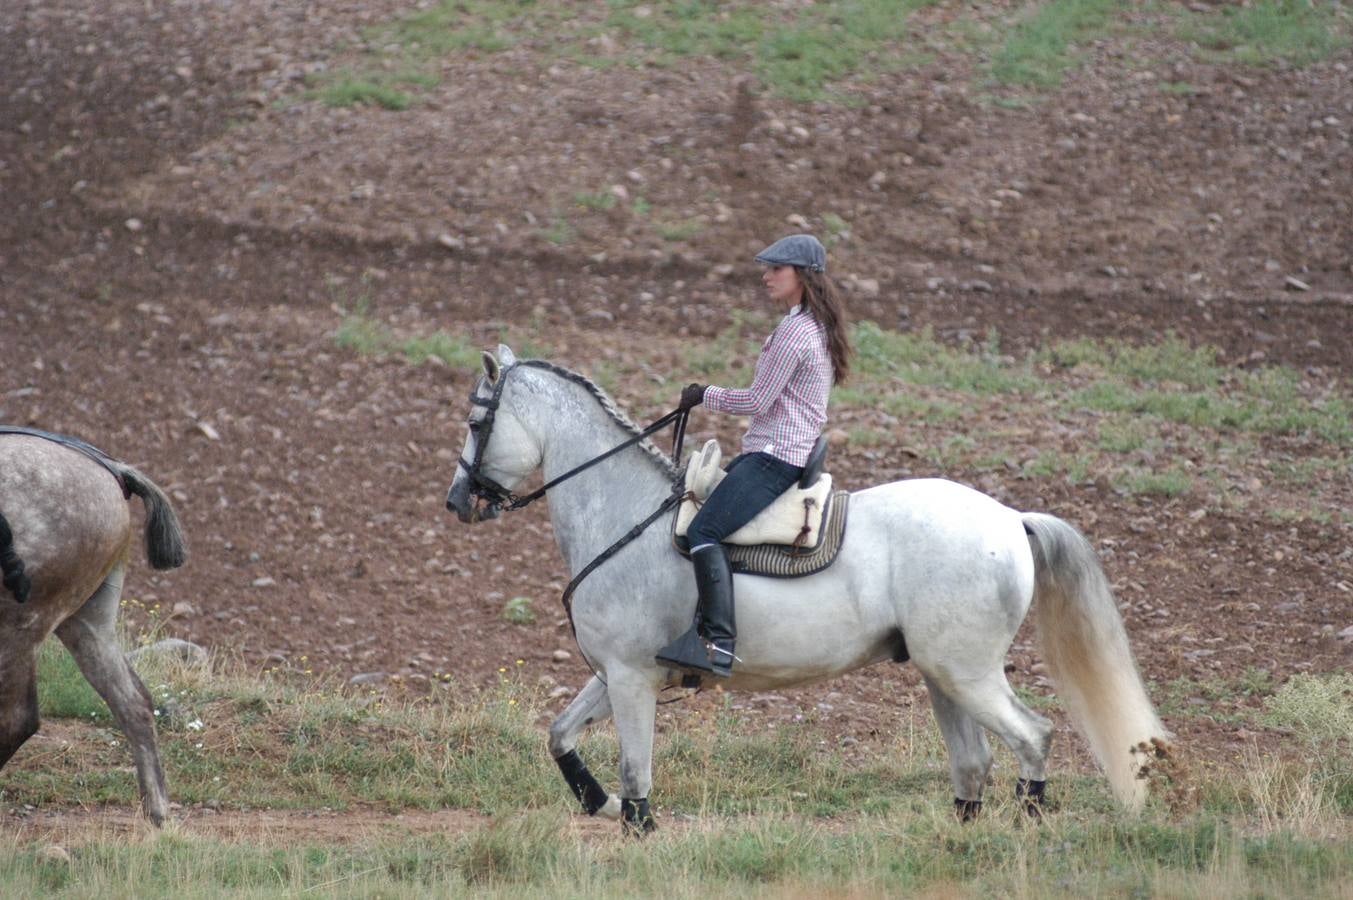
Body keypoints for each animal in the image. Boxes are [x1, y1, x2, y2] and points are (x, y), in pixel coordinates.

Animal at [0, 433, 188, 822]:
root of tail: (114, 471)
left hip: (21, 621)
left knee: (17, 719)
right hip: (86, 622)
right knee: (133, 703)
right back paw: (157, 813)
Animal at [449, 345, 1168, 833]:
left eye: (476, 421)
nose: (458, 502)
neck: (625, 513)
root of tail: (1010, 519)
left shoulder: (629, 677)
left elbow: (636, 776)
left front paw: (635, 824)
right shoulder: (616, 673)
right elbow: (559, 734)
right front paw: (595, 801)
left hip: (968, 674)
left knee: (1032, 738)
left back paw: (1022, 830)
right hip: (944, 676)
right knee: (974, 764)